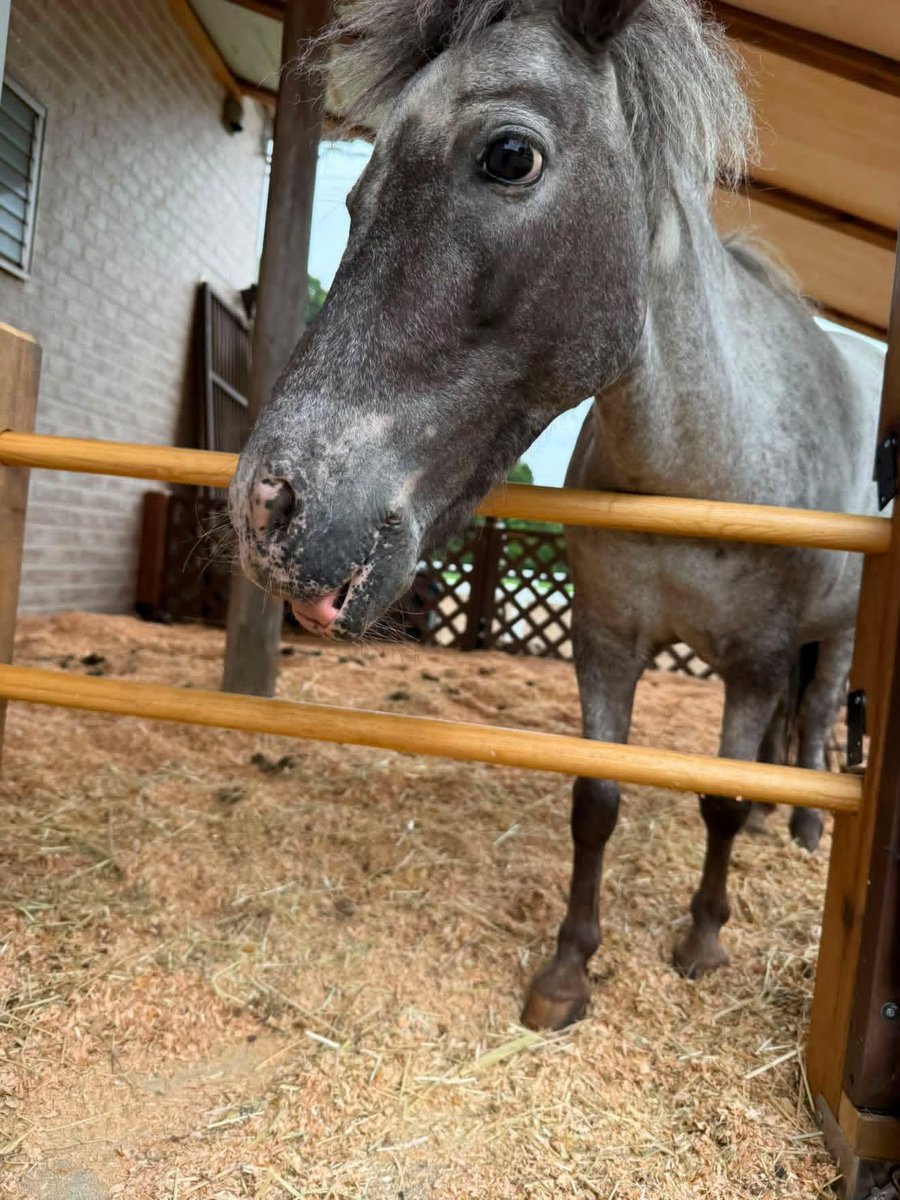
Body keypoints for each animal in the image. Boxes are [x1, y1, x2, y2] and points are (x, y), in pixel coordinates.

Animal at [228, 0, 885, 1030]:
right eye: (355, 195)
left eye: (508, 156)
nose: (269, 508)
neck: (696, 467)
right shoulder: (606, 642)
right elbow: (598, 801)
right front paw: (569, 969)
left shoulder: (755, 660)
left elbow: (721, 801)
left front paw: (702, 940)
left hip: (835, 638)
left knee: (813, 722)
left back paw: (807, 823)